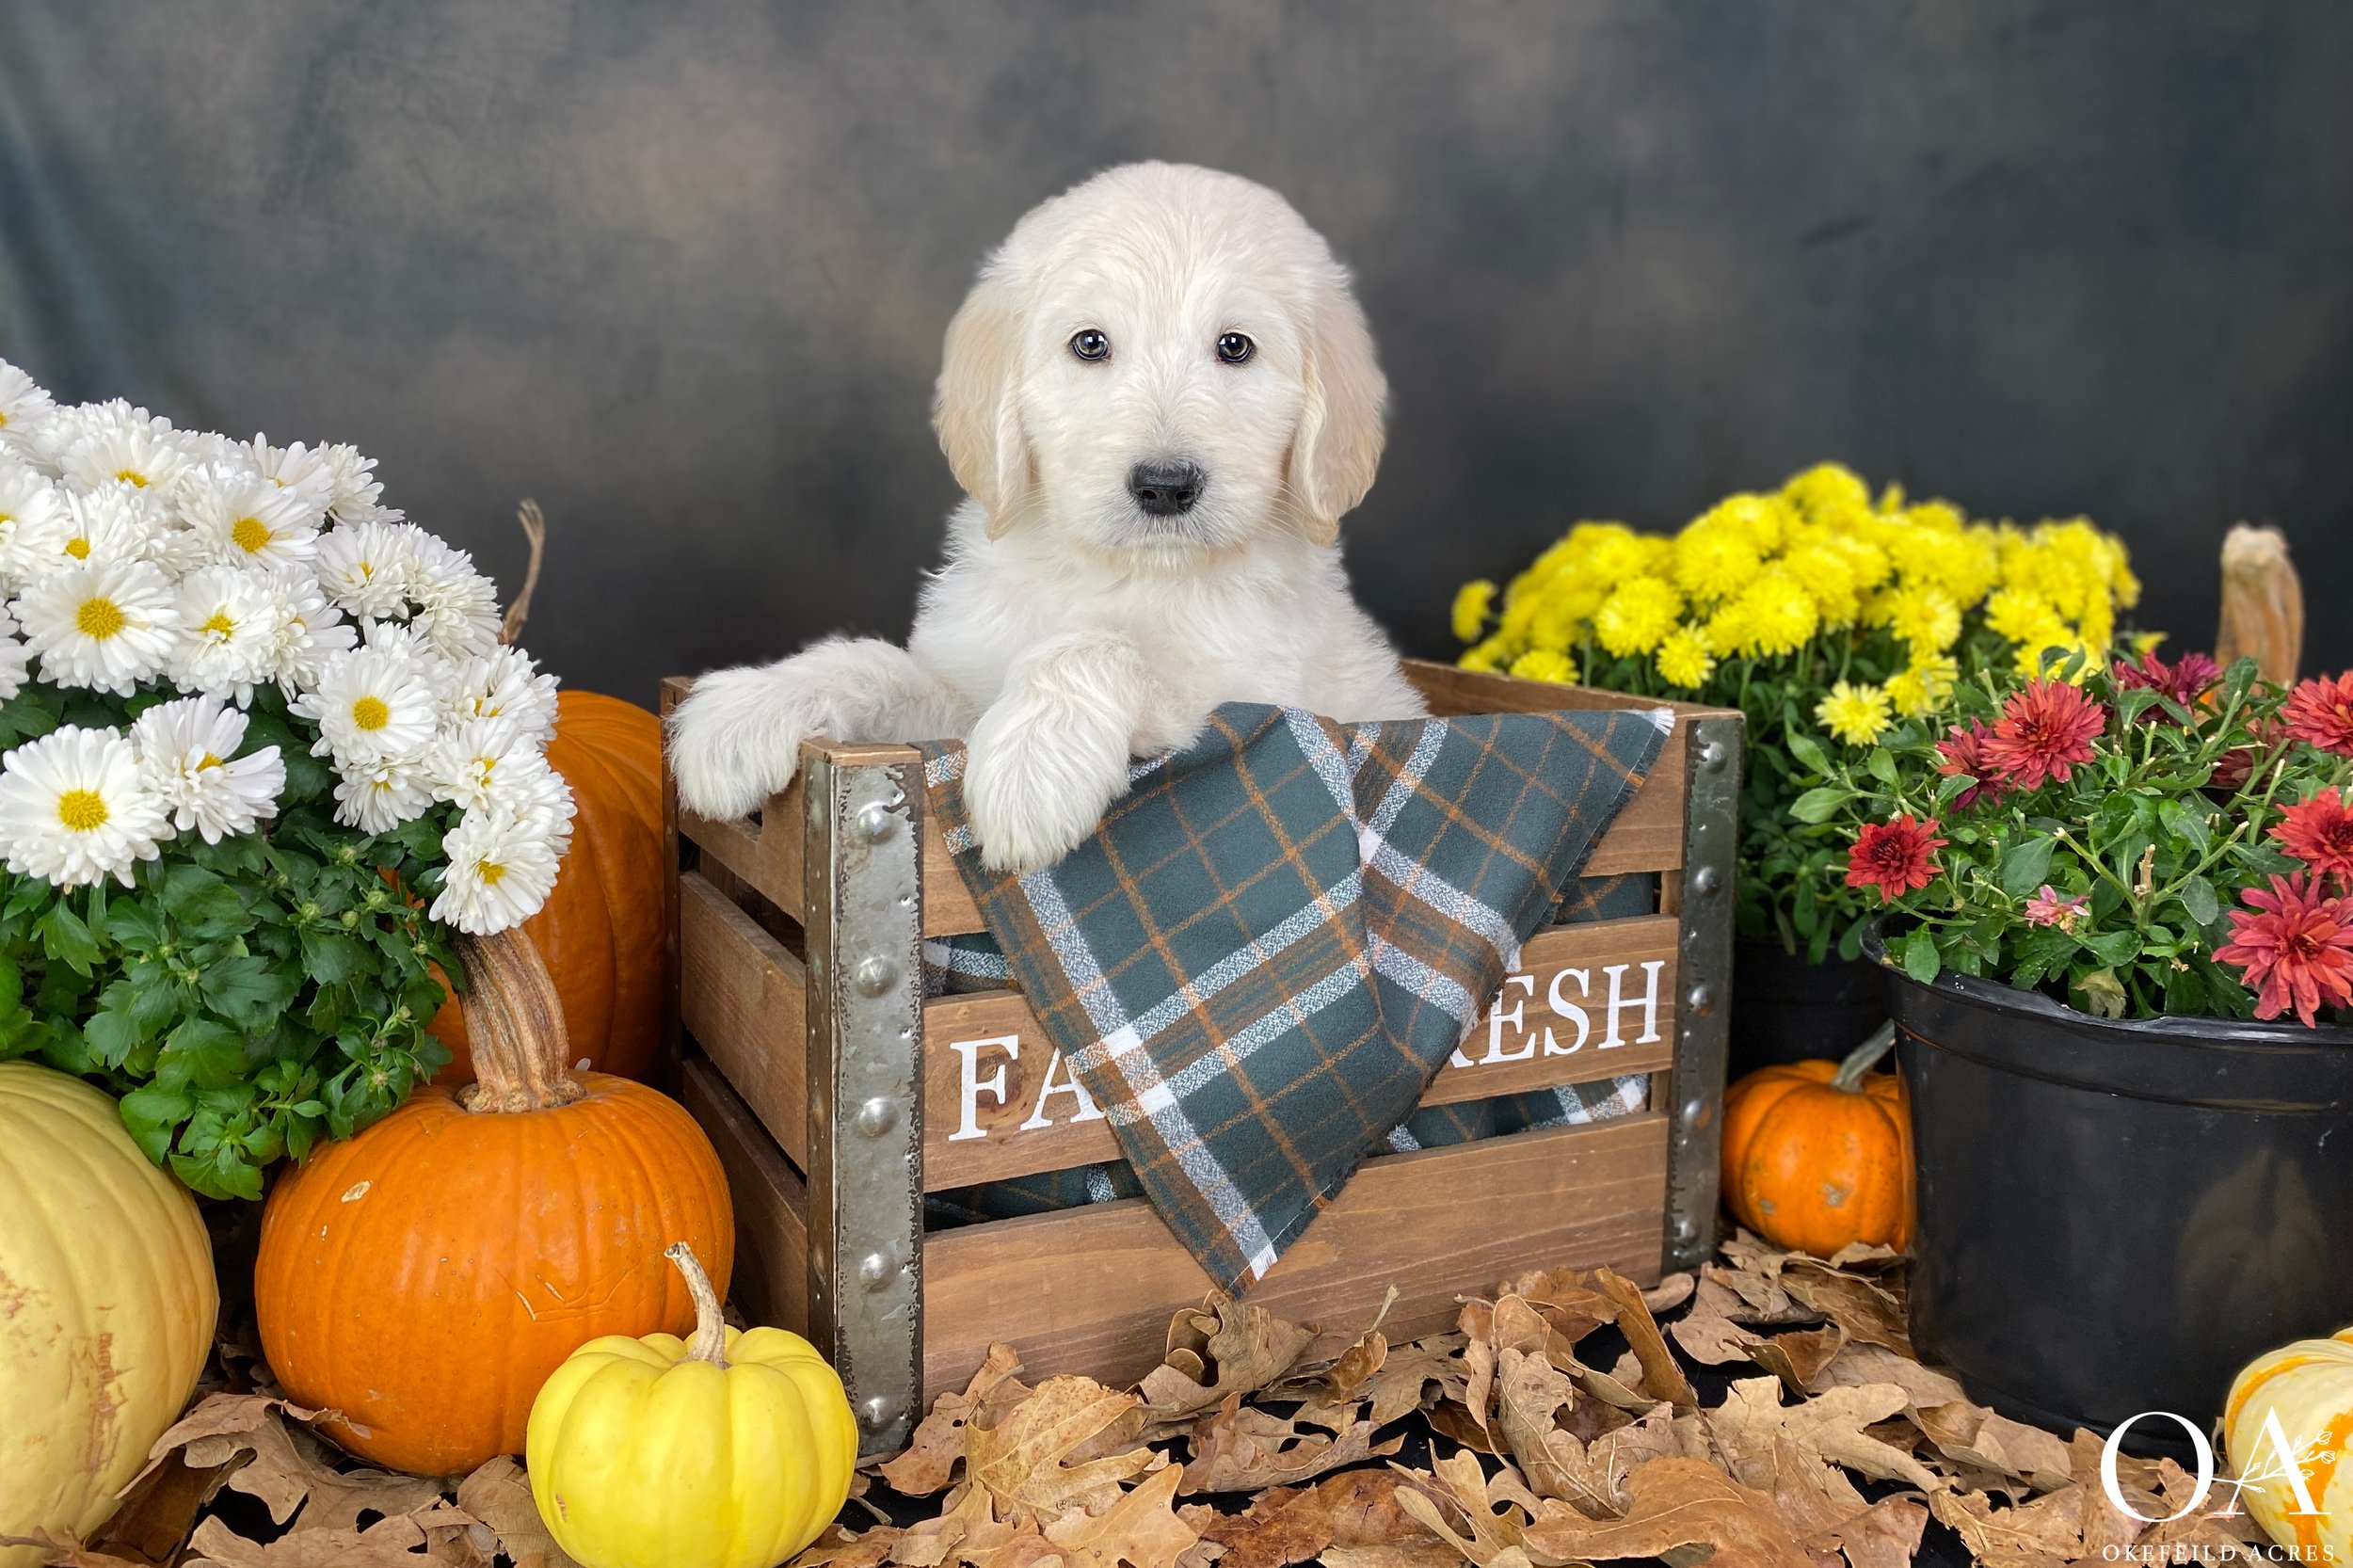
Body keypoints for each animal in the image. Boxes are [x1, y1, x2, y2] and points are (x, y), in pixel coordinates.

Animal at [673, 158, 1421, 866]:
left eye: (1235, 346)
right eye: (1090, 344)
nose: (1165, 486)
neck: (1122, 571)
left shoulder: (1258, 701)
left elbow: (1104, 646)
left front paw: (1032, 762)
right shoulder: (965, 690)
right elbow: (875, 663)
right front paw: (750, 708)